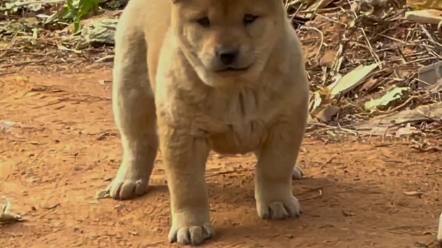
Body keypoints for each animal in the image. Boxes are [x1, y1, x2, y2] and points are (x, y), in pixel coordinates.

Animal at [107, 0, 310, 245]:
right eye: (204, 21)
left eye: (249, 18)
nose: (227, 54)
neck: (236, 90)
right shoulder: (182, 134)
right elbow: (187, 187)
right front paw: (190, 227)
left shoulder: (286, 121)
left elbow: (275, 166)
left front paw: (277, 202)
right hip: (130, 91)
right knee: (138, 142)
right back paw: (128, 181)